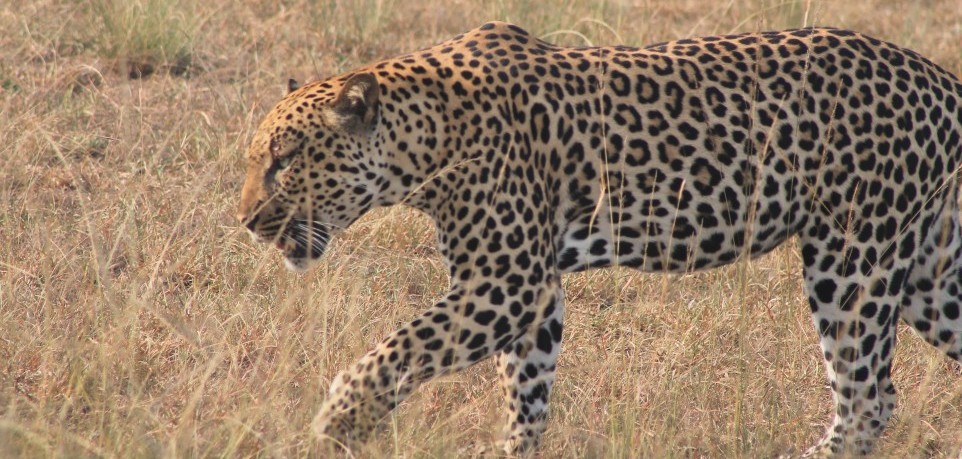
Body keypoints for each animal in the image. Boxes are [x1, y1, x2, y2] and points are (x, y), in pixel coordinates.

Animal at [238, 20, 960, 456]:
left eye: (283, 158)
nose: (246, 219)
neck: (428, 138)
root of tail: (940, 80)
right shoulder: (531, 296)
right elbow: (526, 393)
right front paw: (512, 450)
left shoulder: (505, 284)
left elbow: (396, 348)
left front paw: (335, 423)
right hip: (927, 272)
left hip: (854, 255)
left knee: (867, 396)